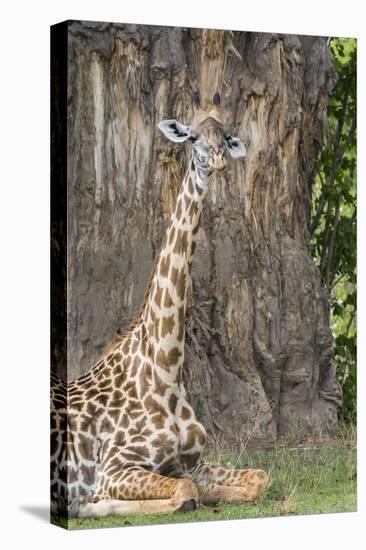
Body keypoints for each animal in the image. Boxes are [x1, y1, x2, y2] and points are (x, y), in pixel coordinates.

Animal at [50, 91, 268, 520]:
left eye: (227, 135)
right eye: (193, 136)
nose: (218, 159)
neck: (166, 368)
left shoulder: (194, 462)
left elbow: (258, 479)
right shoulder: (116, 466)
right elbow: (184, 491)